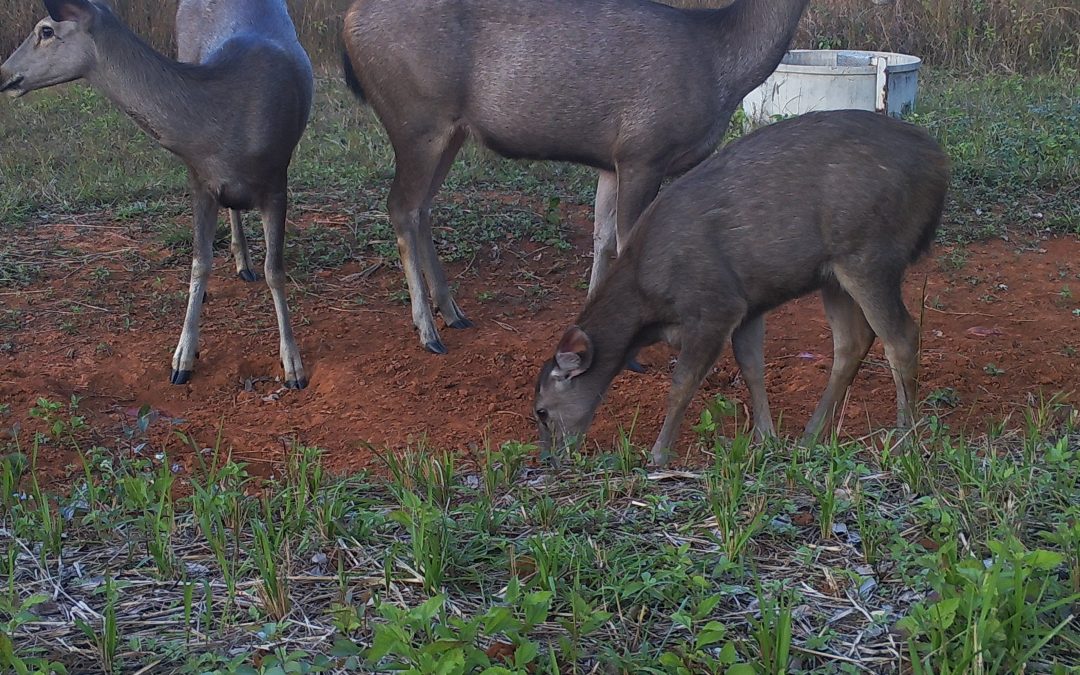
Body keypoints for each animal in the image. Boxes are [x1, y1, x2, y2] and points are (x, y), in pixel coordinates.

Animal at [3, 0, 315, 386]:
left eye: (45, 30)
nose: (3, 73)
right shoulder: (198, 178)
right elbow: (200, 263)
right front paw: (183, 358)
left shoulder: (277, 177)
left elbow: (275, 271)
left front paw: (293, 366)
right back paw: (240, 261)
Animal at [343, 0, 812, 356]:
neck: (721, 66)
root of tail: (348, 21)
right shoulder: (645, 149)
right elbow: (627, 242)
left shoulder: (612, 159)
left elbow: (602, 238)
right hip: (417, 119)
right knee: (402, 206)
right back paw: (428, 331)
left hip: (450, 131)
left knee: (422, 207)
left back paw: (452, 312)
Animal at [535, 111, 950, 468]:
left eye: (542, 411)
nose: (551, 459)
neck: (647, 305)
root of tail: (939, 165)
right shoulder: (748, 305)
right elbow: (752, 367)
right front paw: (766, 438)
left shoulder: (714, 304)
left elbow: (682, 383)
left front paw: (658, 454)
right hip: (833, 272)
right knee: (852, 342)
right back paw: (811, 436)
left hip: (869, 252)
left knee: (902, 337)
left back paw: (905, 442)